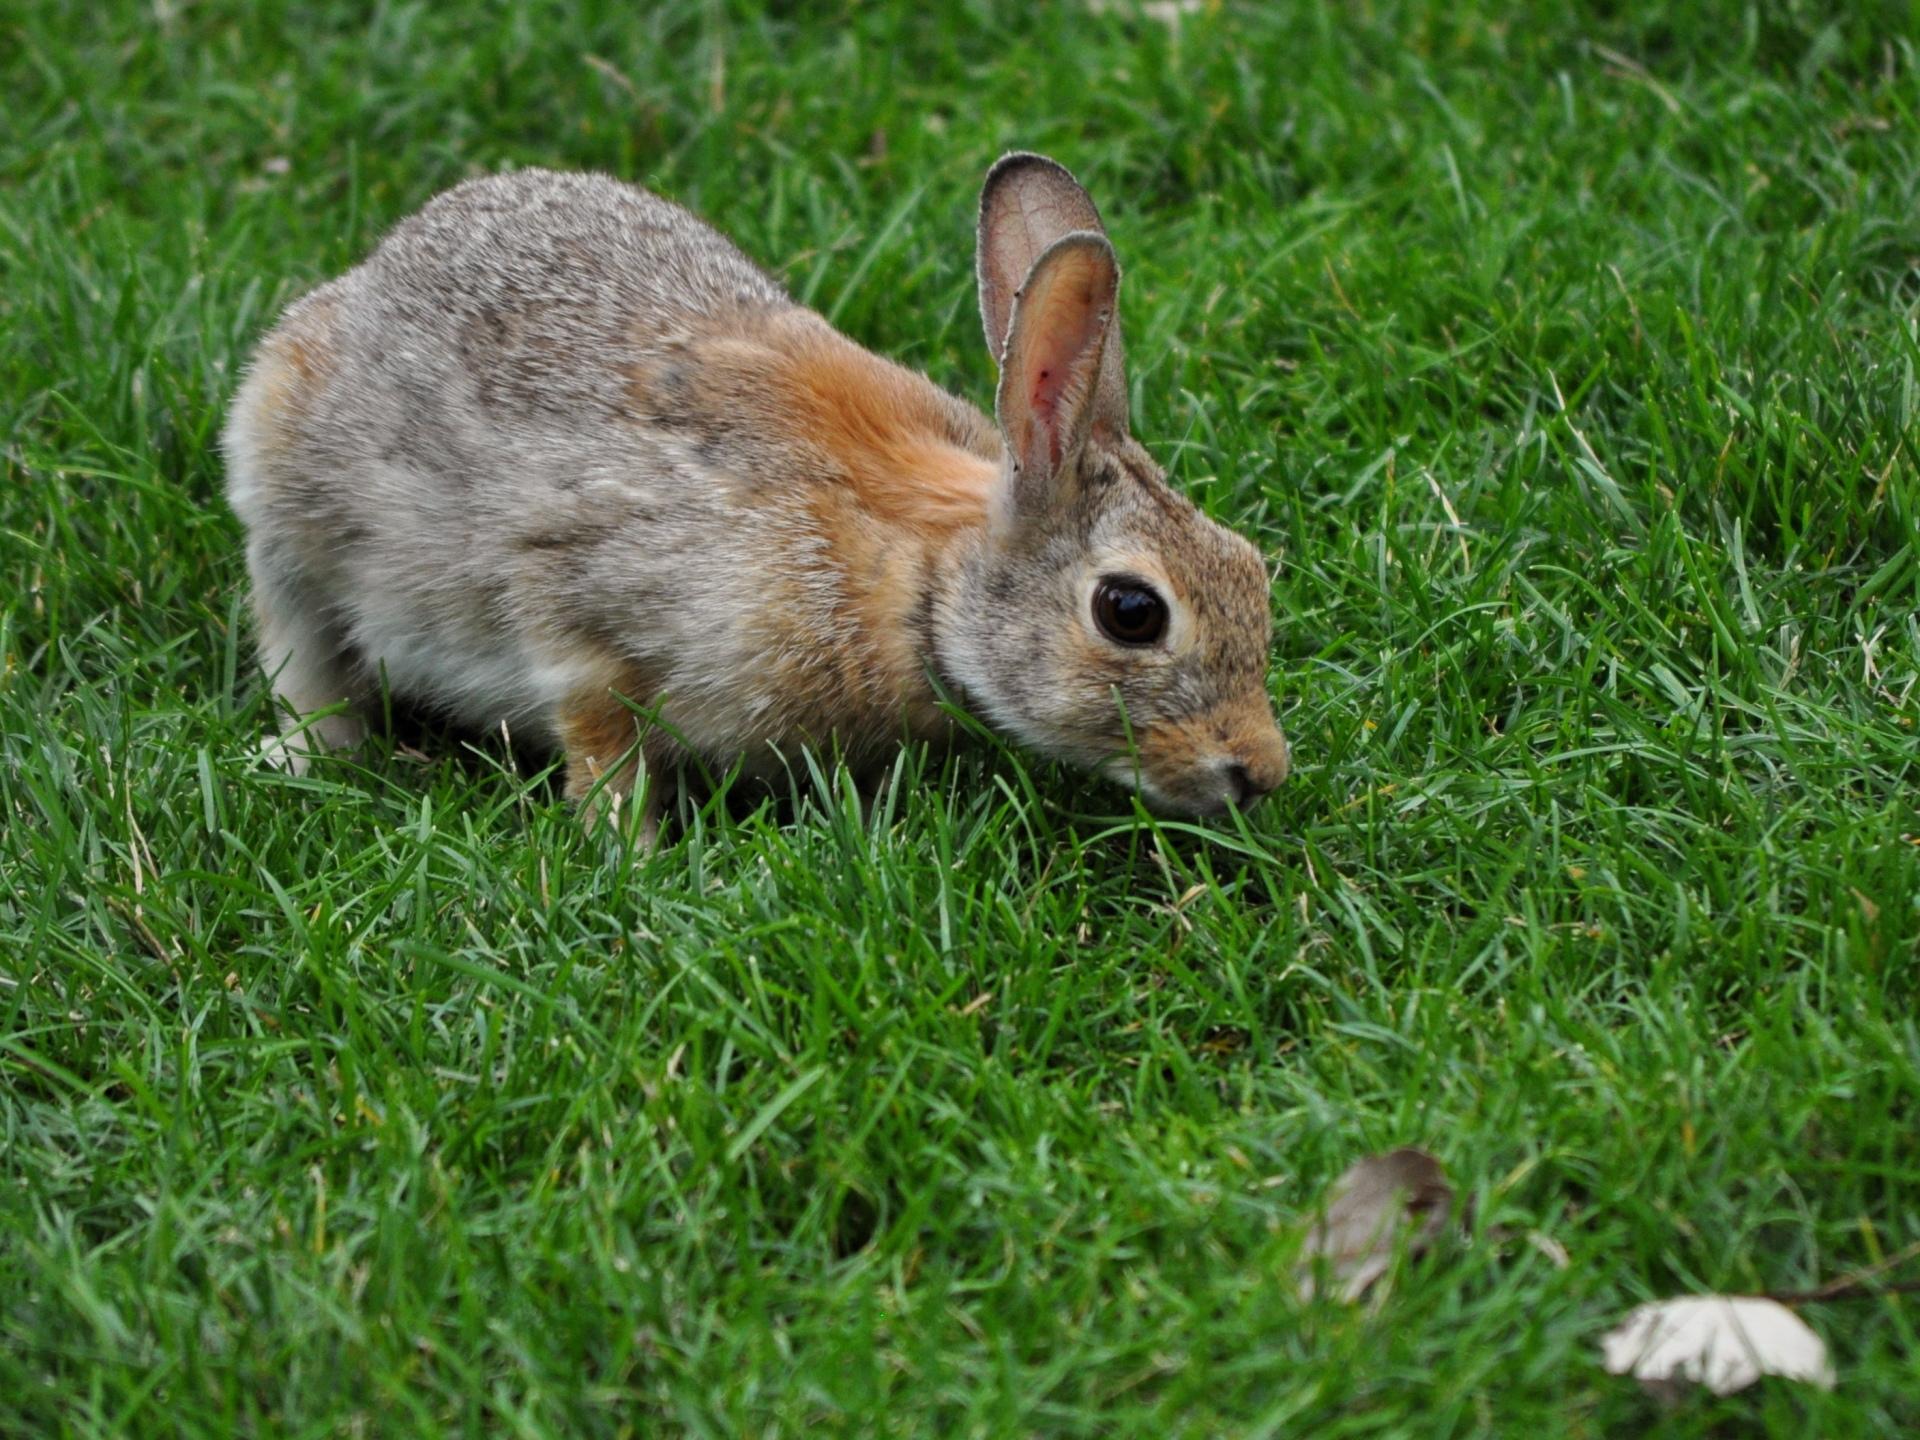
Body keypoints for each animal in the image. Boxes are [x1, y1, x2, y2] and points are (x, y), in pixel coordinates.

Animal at [224, 152, 1290, 840]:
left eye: (1251, 568)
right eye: (1131, 611)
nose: (1260, 771)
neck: (921, 576)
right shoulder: (579, 602)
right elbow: (598, 734)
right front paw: (632, 856)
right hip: (282, 505)